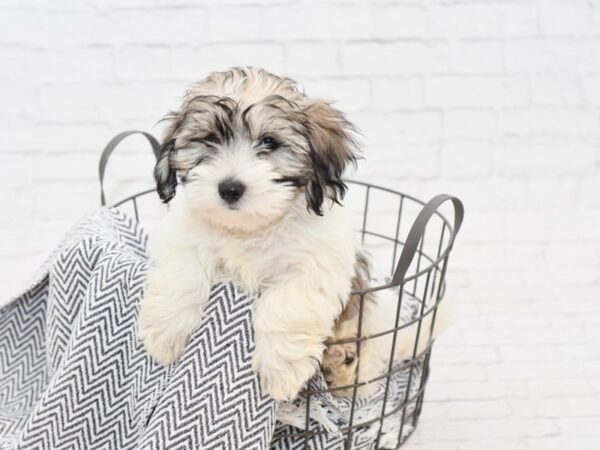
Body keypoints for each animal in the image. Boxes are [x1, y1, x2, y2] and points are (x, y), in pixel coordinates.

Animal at [137, 67, 360, 400]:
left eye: (269, 142)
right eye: (209, 139)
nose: (230, 188)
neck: (248, 229)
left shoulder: (317, 263)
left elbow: (287, 304)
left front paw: (281, 370)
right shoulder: (183, 237)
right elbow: (184, 272)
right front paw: (165, 331)